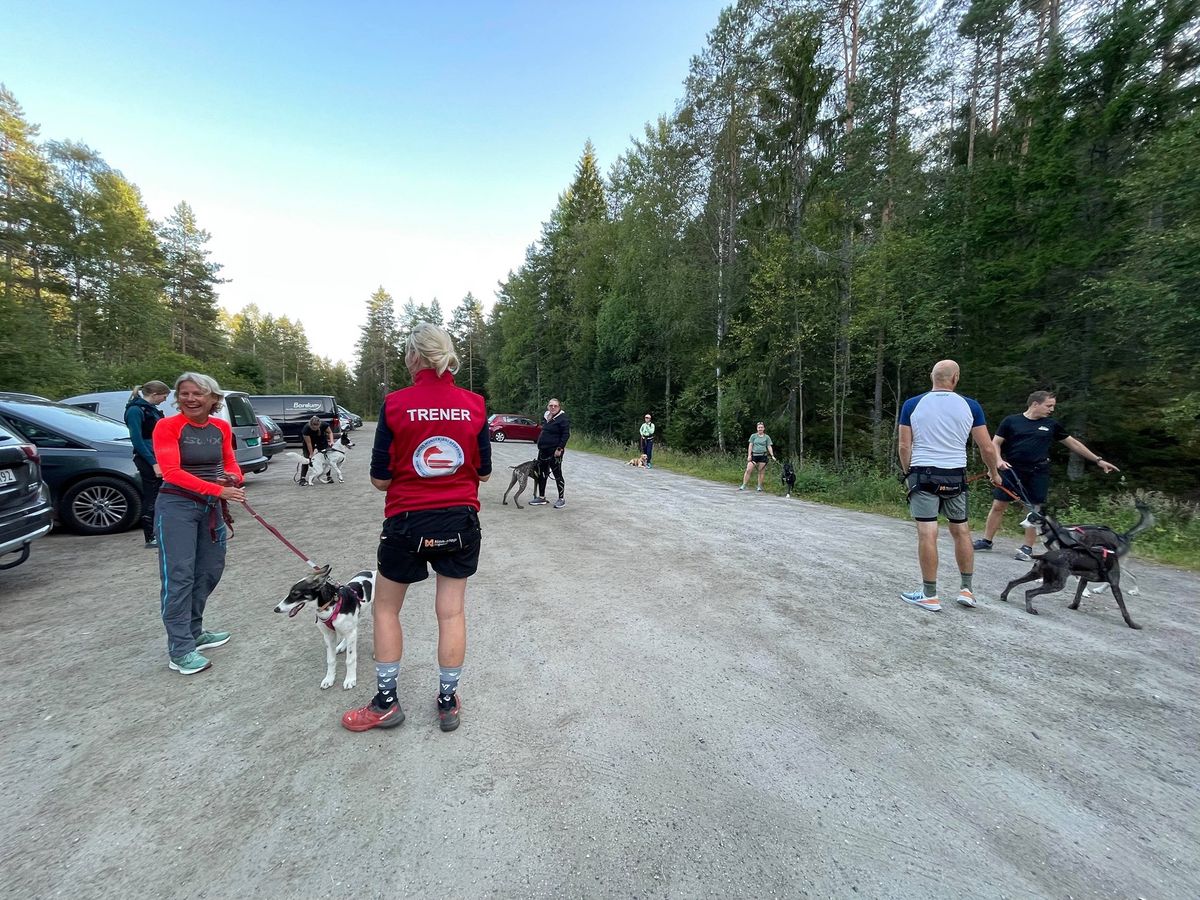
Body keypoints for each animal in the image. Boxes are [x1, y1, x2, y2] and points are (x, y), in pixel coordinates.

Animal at [993, 504, 1152, 628]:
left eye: (1030, 518)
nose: (1020, 524)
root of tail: (1122, 536)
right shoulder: (1111, 585)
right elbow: (1123, 608)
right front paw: (1132, 624)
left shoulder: (1084, 578)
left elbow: (1078, 592)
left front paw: (1079, 601)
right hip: (1056, 584)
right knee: (1028, 592)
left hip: (1037, 575)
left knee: (1013, 582)